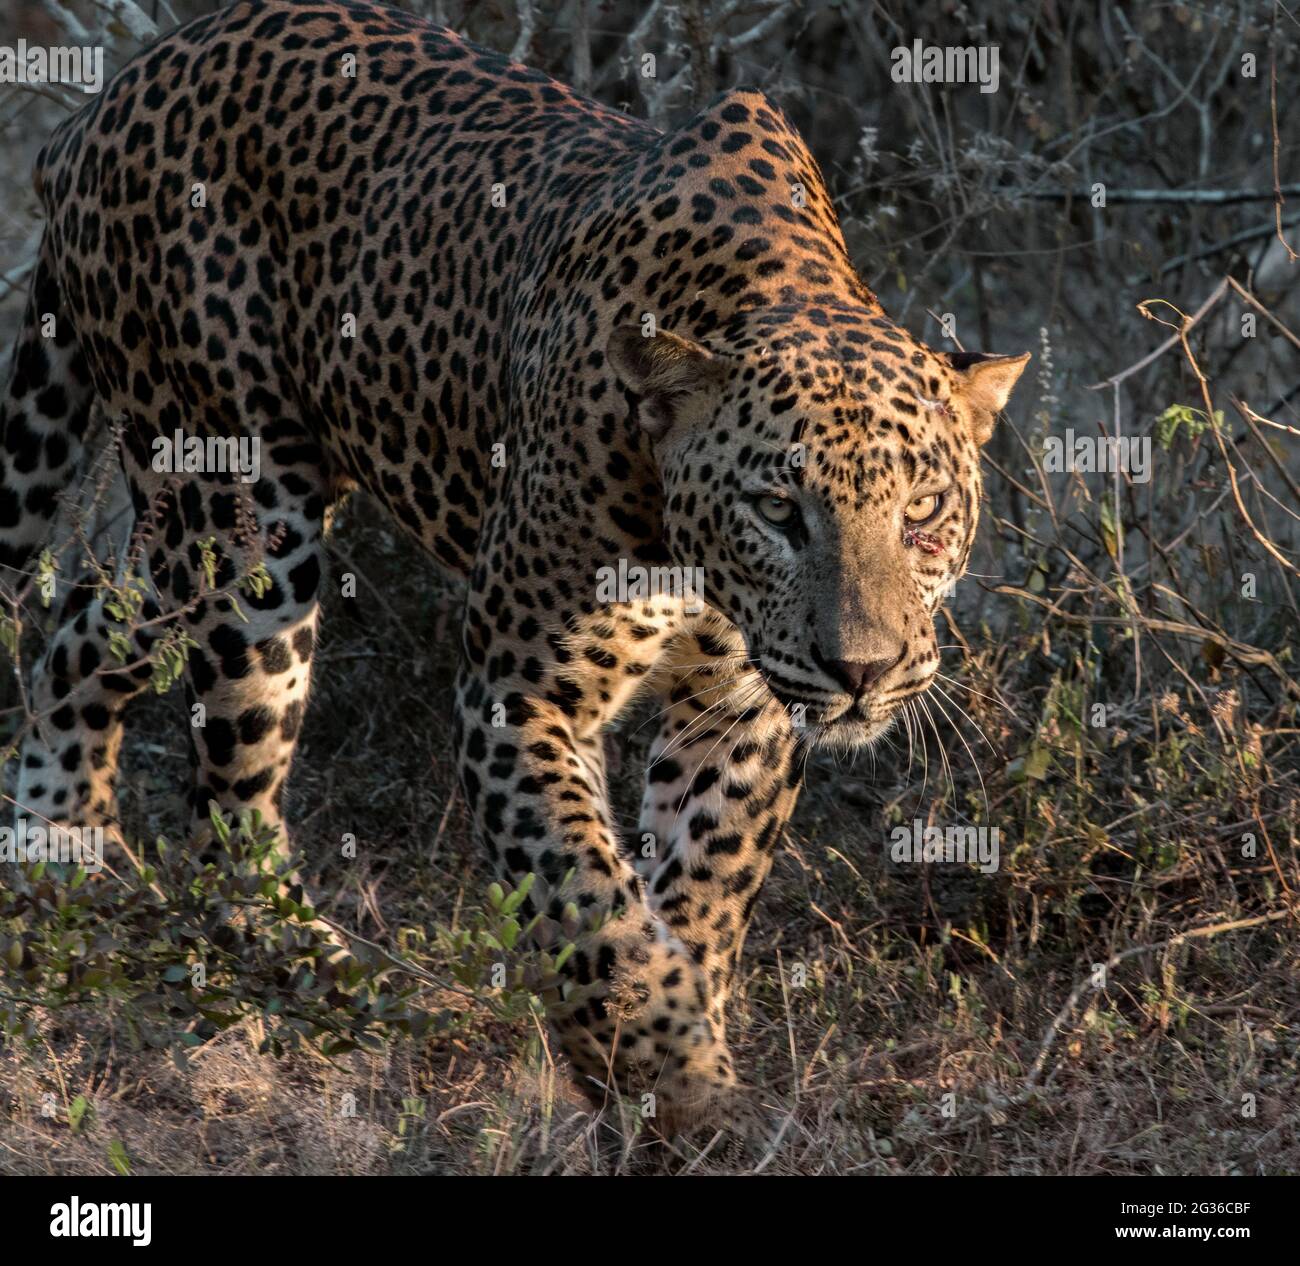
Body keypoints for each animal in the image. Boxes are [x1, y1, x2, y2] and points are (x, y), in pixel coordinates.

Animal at [0, 0, 1028, 1131]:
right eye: (776, 510)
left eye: (922, 511)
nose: (862, 672)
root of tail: (106, 100)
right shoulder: (522, 691)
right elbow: (587, 899)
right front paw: (671, 1081)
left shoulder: (741, 707)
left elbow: (702, 887)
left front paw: (673, 1057)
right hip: (242, 525)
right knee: (228, 808)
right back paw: (323, 985)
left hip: (184, 539)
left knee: (86, 620)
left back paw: (54, 854)